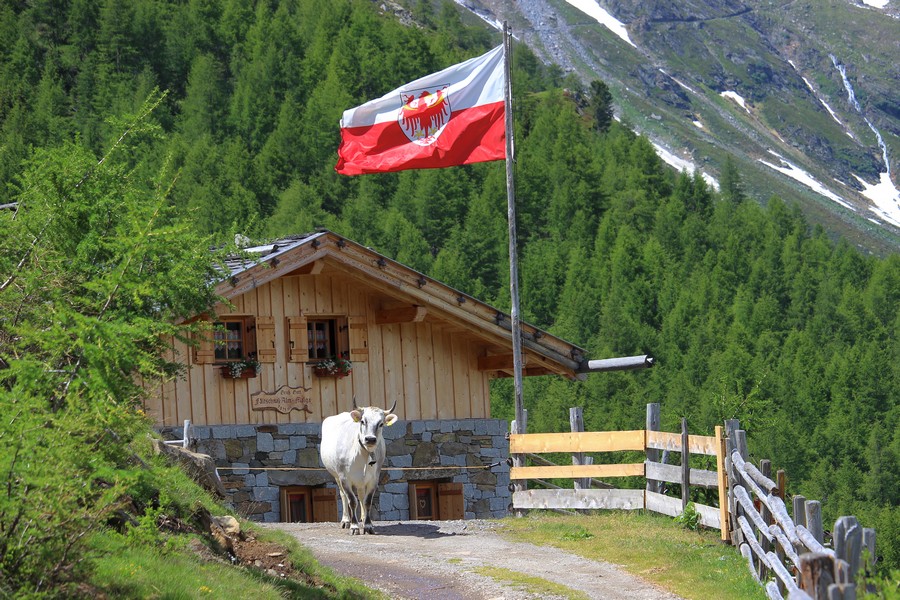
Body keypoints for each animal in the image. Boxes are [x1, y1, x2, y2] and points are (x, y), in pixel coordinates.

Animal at [320, 398, 398, 536]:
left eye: (381, 424)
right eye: (363, 421)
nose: (370, 439)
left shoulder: (374, 479)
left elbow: (367, 501)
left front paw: (368, 525)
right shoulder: (344, 478)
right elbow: (352, 500)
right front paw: (354, 526)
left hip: (361, 480)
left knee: (361, 496)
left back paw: (362, 517)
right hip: (336, 476)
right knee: (343, 495)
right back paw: (346, 520)